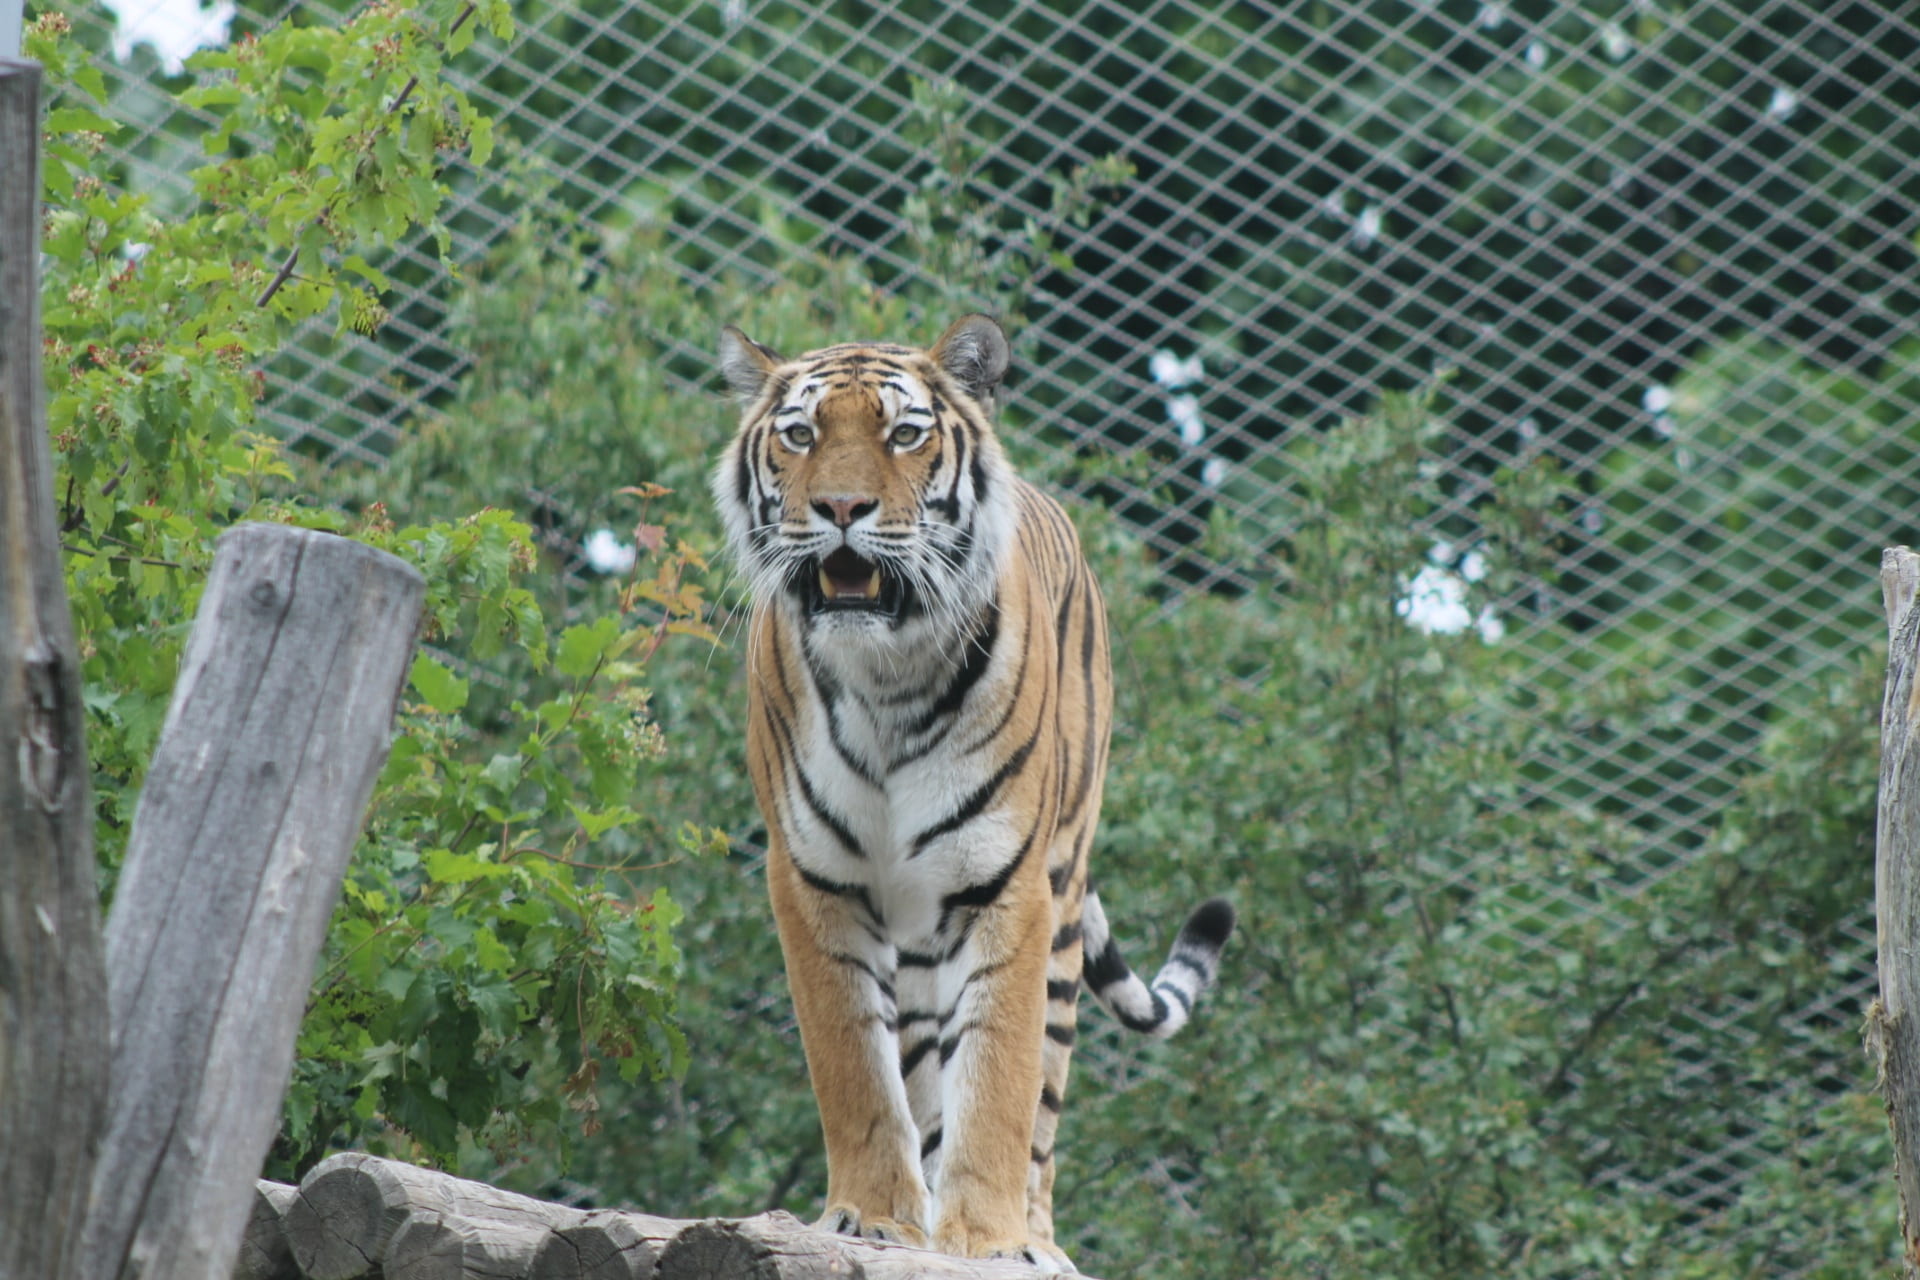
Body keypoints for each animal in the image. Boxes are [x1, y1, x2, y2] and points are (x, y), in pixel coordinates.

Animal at [711, 313, 1235, 1271]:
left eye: (903, 434)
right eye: (800, 436)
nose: (841, 509)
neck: (886, 675)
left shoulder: (1009, 884)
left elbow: (999, 1078)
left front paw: (987, 1242)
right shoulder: (811, 879)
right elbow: (855, 1069)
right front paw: (871, 1218)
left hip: (1060, 898)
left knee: (1044, 1102)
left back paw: (1038, 1242)